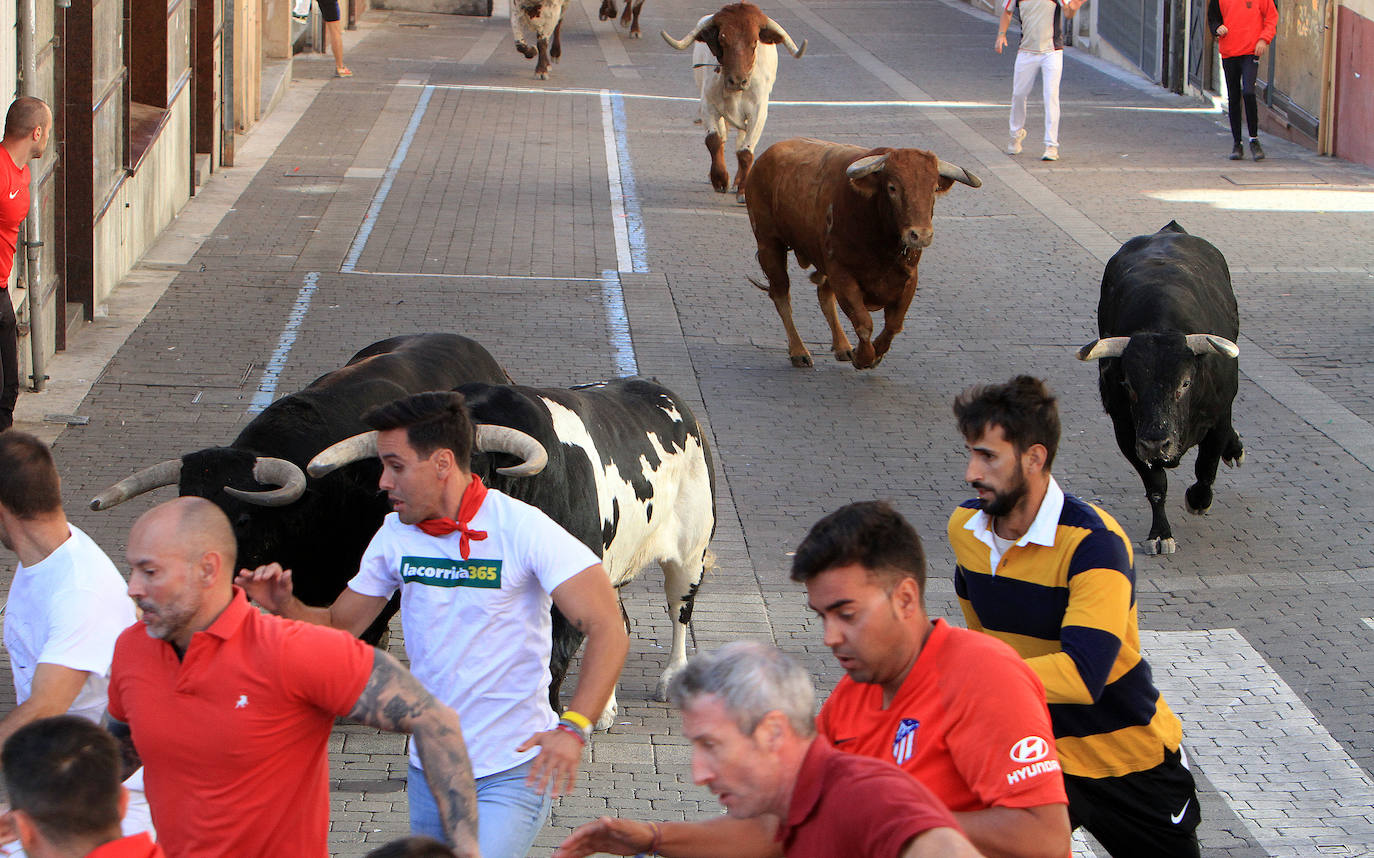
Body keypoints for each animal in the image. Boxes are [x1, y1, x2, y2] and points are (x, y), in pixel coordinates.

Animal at [311, 374, 719, 726]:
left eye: (471, 473)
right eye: (391, 481)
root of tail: (663, 392)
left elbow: (552, 661)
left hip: (690, 553)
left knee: (679, 610)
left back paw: (670, 678)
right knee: (620, 624)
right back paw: (604, 711)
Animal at [656, 3, 802, 200]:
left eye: (754, 42)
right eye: (722, 39)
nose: (737, 81)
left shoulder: (758, 113)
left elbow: (746, 152)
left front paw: (743, 190)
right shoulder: (709, 106)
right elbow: (714, 140)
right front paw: (719, 179)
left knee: (740, 143)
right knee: (724, 137)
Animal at [747, 137, 983, 368]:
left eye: (933, 188)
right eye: (892, 187)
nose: (920, 235)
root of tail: (764, 159)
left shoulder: (909, 277)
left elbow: (894, 324)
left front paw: (876, 353)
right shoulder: (842, 273)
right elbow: (863, 322)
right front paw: (864, 357)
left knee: (824, 295)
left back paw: (842, 346)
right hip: (769, 245)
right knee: (781, 295)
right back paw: (799, 351)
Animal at [1077, 221, 1242, 555]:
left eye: (1185, 383)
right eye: (1128, 384)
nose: (1157, 443)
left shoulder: (1217, 418)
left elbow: (1206, 466)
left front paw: (1198, 500)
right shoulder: (1127, 432)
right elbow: (1156, 484)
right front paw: (1160, 534)